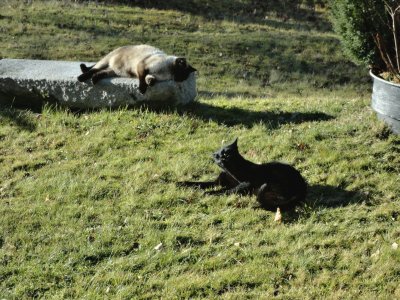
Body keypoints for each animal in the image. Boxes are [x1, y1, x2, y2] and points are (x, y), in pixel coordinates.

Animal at [180, 138, 308, 210]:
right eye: (217, 157)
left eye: (226, 154)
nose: (221, 159)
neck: (231, 172)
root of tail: (302, 186)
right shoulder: (218, 182)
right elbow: (199, 183)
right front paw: (181, 183)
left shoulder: (246, 184)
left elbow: (226, 190)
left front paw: (209, 193)